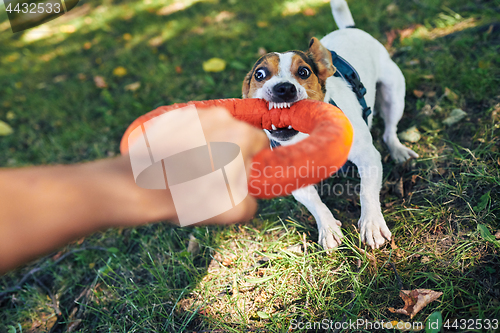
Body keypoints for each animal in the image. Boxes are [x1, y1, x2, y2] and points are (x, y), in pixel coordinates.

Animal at [242, 0, 418, 249]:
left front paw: (372, 224)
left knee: (389, 131)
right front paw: (328, 228)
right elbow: (316, 204)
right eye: (259, 74)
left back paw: (398, 150)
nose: (283, 88)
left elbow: (366, 192)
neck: (308, 137)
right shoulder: (296, 182)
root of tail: (350, 28)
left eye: (304, 71)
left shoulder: (368, 157)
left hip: (394, 93)